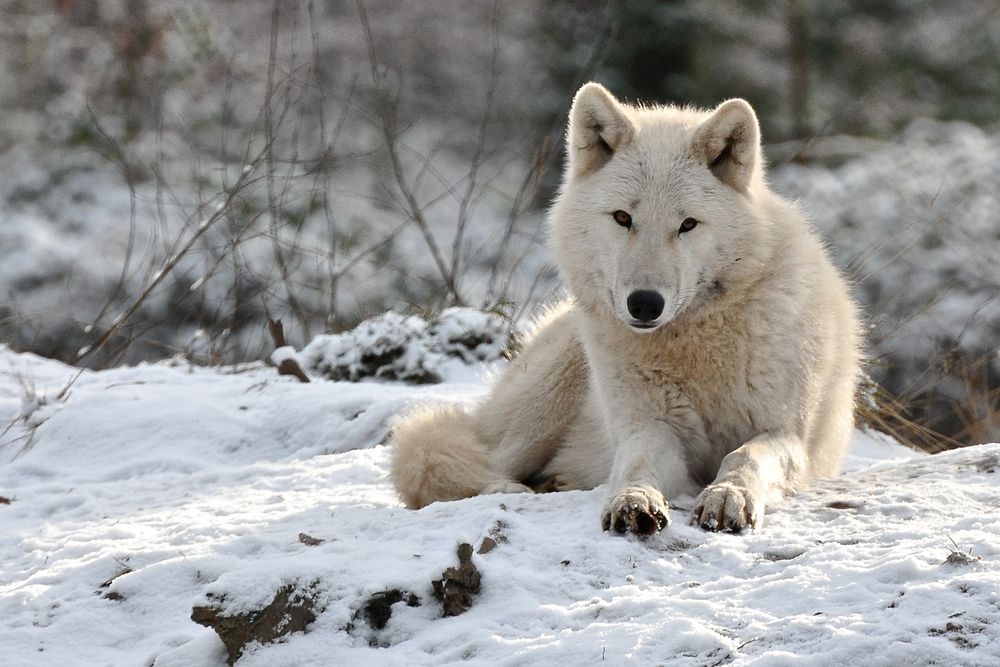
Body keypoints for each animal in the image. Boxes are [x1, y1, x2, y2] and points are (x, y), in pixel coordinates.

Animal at [391, 83, 860, 535]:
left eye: (687, 224)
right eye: (622, 218)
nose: (645, 304)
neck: (694, 343)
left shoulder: (786, 435)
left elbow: (745, 456)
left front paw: (728, 496)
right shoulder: (649, 428)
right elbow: (637, 463)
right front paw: (633, 501)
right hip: (550, 394)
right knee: (453, 461)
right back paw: (514, 487)